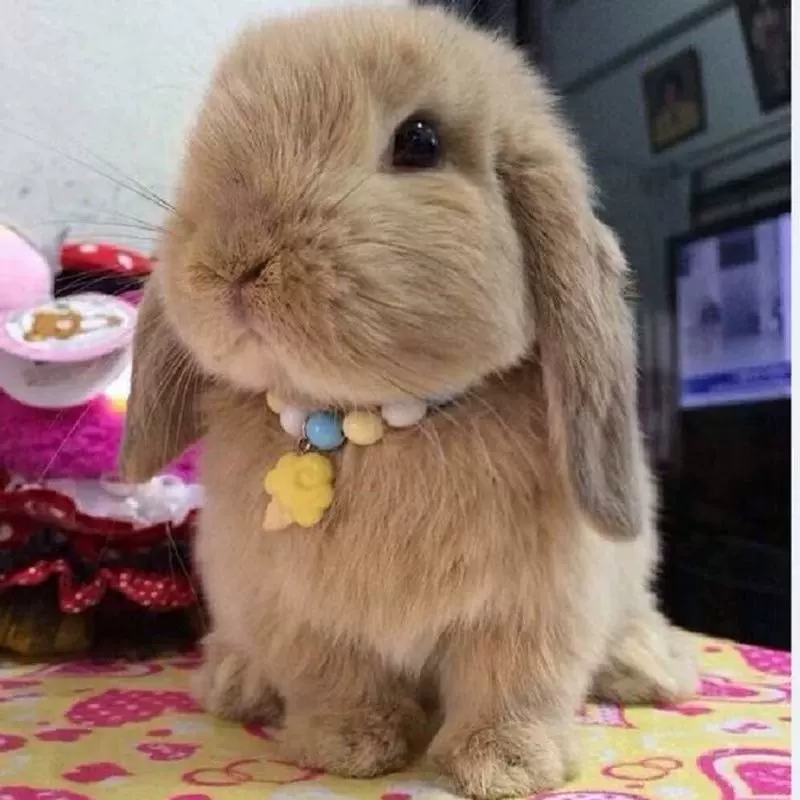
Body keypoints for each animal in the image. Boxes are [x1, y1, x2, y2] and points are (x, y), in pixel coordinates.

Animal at [120, 5, 696, 798]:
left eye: (420, 141)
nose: (232, 262)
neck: (373, 423)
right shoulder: (297, 610)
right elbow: (333, 675)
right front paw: (348, 745)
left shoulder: (536, 609)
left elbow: (514, 683)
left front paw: (505, 765)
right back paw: (236, 683)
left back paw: (648, 669)